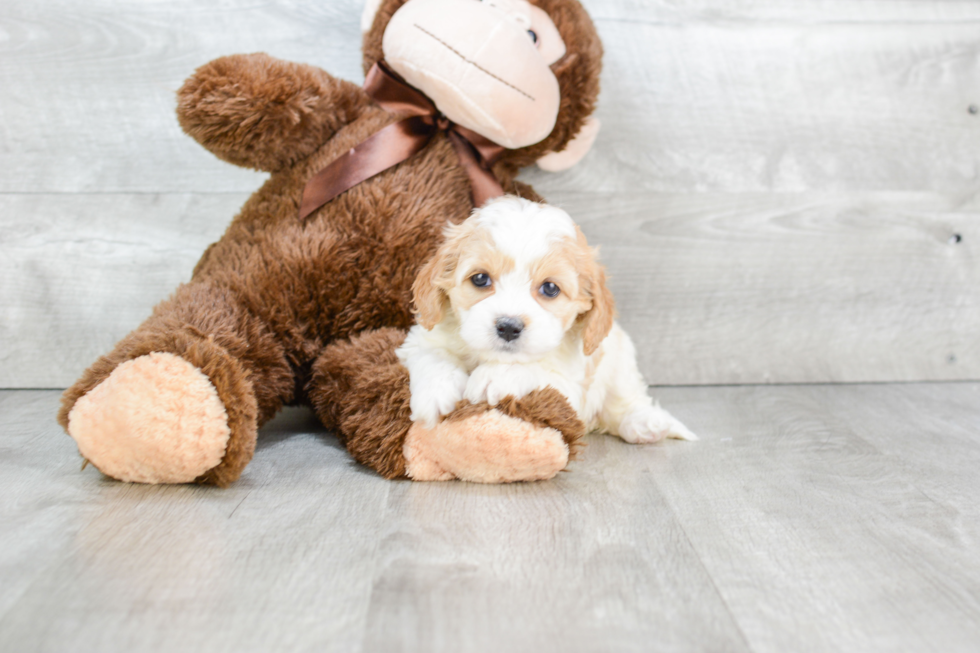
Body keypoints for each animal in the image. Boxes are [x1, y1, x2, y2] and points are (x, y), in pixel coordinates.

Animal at [398, 197, 696, 444]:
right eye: (480, 279)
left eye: (550, 288)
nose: (509, 327)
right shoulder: (421, 338)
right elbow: (433, 356)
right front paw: (437, 393)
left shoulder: (572, 386)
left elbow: (536, 370)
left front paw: (494, 377)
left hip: (621, 361)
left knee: (625, 400)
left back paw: (645, 424)